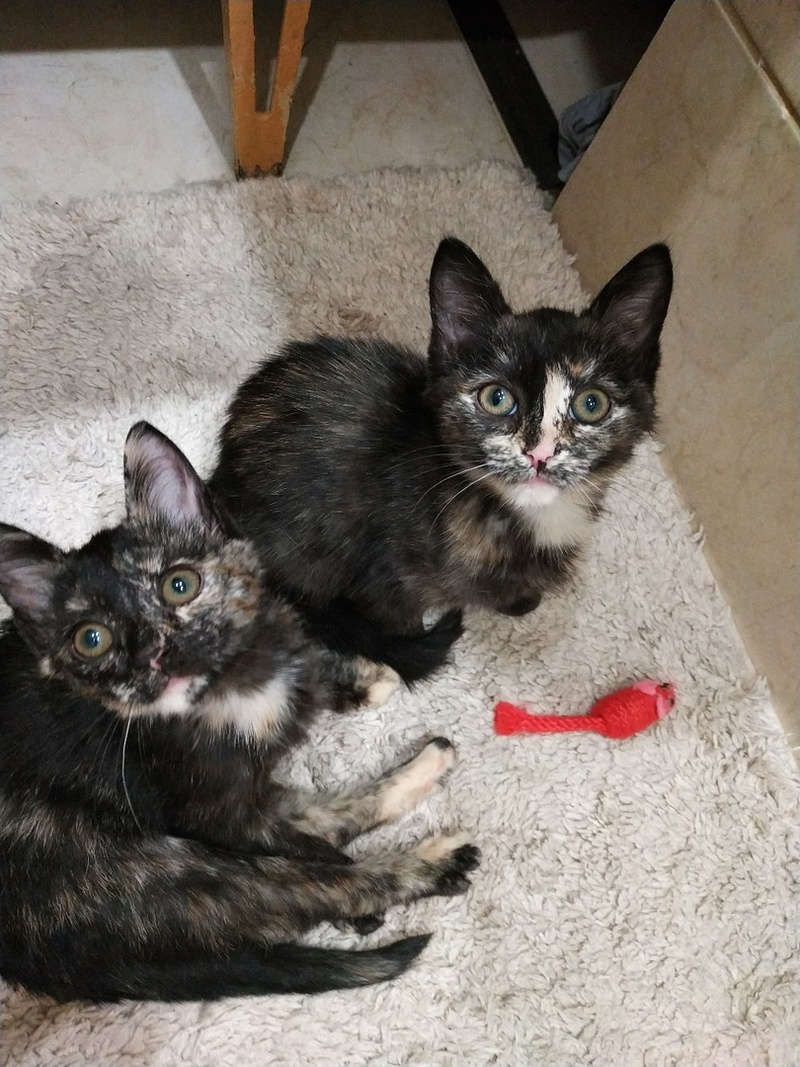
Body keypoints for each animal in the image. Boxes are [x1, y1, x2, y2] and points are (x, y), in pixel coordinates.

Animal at [0, 421, 480, 1003]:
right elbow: (315, 856)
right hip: (148, 865)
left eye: (179, 585)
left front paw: (360, 677)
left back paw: (428, 762)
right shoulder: (214, 814)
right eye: (92, 640)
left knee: (322, 821)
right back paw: (433, 863)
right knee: (312, 882)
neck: (232, 691)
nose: (154, 652)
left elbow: (309, 667)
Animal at [209, 237, 673, 683]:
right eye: (496, 398)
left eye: (591, 404)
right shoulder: (391, 579)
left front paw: (521, 598)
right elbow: (403, 618)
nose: (539, 453)